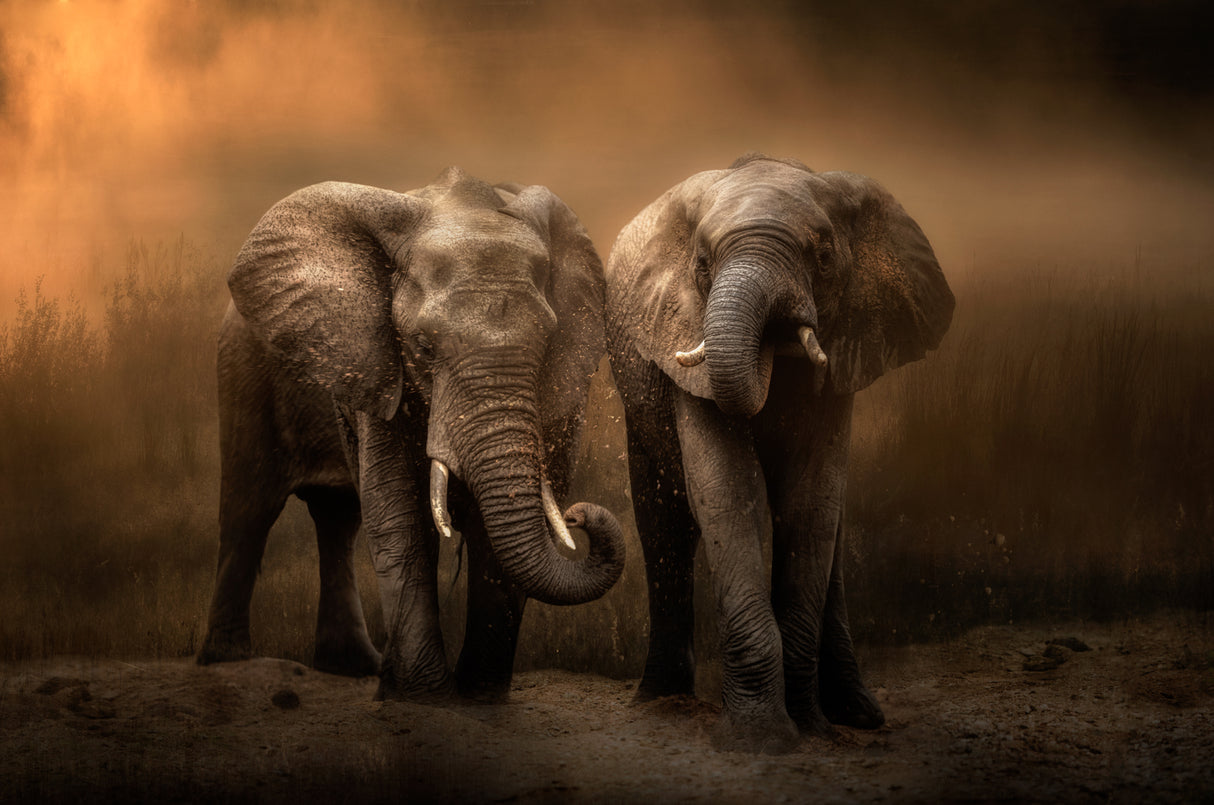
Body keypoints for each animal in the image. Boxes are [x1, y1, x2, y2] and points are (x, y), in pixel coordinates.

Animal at [197, 167, 626, 703]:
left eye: (548, 342)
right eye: (422, 346)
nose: (580, 518)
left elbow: (494, 539)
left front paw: (480, 698)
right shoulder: (378, 362)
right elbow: (399, 515)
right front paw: (425, 699)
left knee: (337, 519)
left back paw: (355, 668)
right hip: (244, 370)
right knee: (249, 508)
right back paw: (230, 663)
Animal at [604, 154, 954, 752]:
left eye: (824, 256)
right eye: (702, 265)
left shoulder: (845, 355)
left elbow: (810, 500)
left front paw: (810, 729)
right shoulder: (683, 340)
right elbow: (728, 489)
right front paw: (761, 738)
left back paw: (857, 715)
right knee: (665, 521)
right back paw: (657, 704)